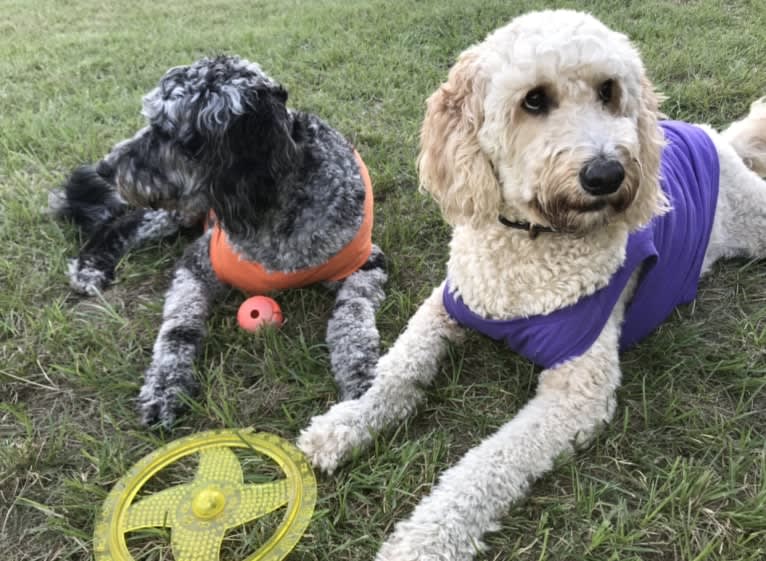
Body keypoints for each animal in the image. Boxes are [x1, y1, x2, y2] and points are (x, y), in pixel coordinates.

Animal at [52, 55, 390, 424]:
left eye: (164, 130)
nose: (106, 168)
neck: (273, 214)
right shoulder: (195, 264)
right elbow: (177, 328)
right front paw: (164, 386)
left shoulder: (366, 262)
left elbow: (352, 318)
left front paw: (362, 378)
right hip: (181, 209)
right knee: (119, 223)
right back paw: (90, 266)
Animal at [296, 9, 764, 560]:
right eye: (534, 100)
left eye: (609, 90)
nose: (606, 174)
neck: (529, 244)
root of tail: (715, 138)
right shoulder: (446, 304)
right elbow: (397, 368)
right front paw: (345, 422)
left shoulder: (578, 393)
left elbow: (487, 463)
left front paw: (425, 537)